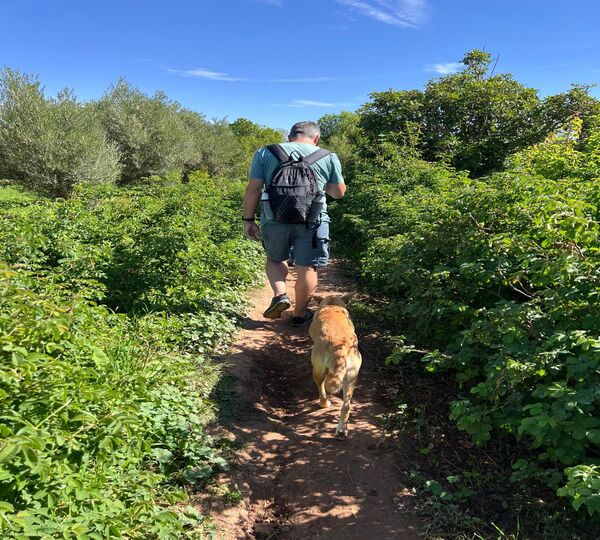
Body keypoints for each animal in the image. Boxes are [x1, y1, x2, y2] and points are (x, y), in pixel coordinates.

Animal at [310, 294, 360, 436]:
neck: (332, 305)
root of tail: (339, 346)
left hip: (317, 370)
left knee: (321, 388)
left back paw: (324, 403)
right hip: (352, 377)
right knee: (346, 406)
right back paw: (342, 429)